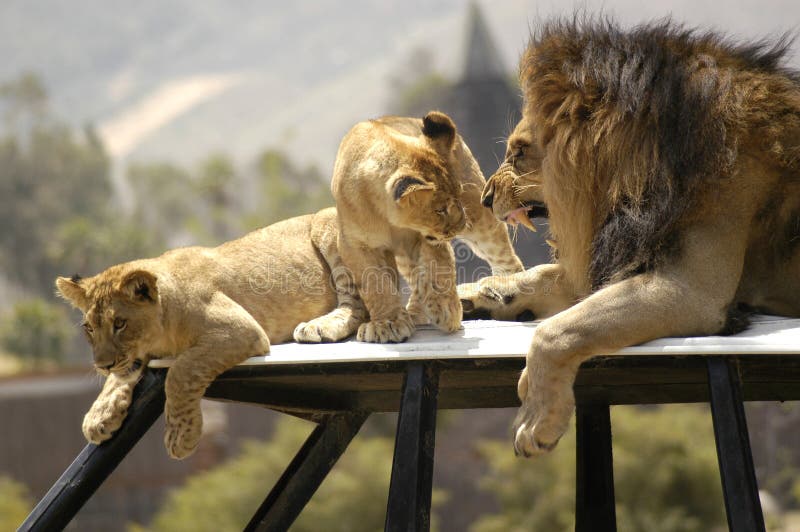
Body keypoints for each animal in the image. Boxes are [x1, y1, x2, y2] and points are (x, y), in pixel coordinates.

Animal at [54, 111, 520, 458]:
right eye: (90, 329)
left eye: (120, 323)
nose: (100, 363)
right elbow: (131, 375)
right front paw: (100, 414)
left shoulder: (239, 331)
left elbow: (181, 373)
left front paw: (181, 437)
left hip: (335, 230)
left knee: (369, 300)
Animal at [456, 18, 800, 456]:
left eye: (518, 153)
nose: (484, 198)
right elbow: (545, 276)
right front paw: (480, 293)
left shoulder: (688, 290)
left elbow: (557, 330)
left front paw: (537, 416)